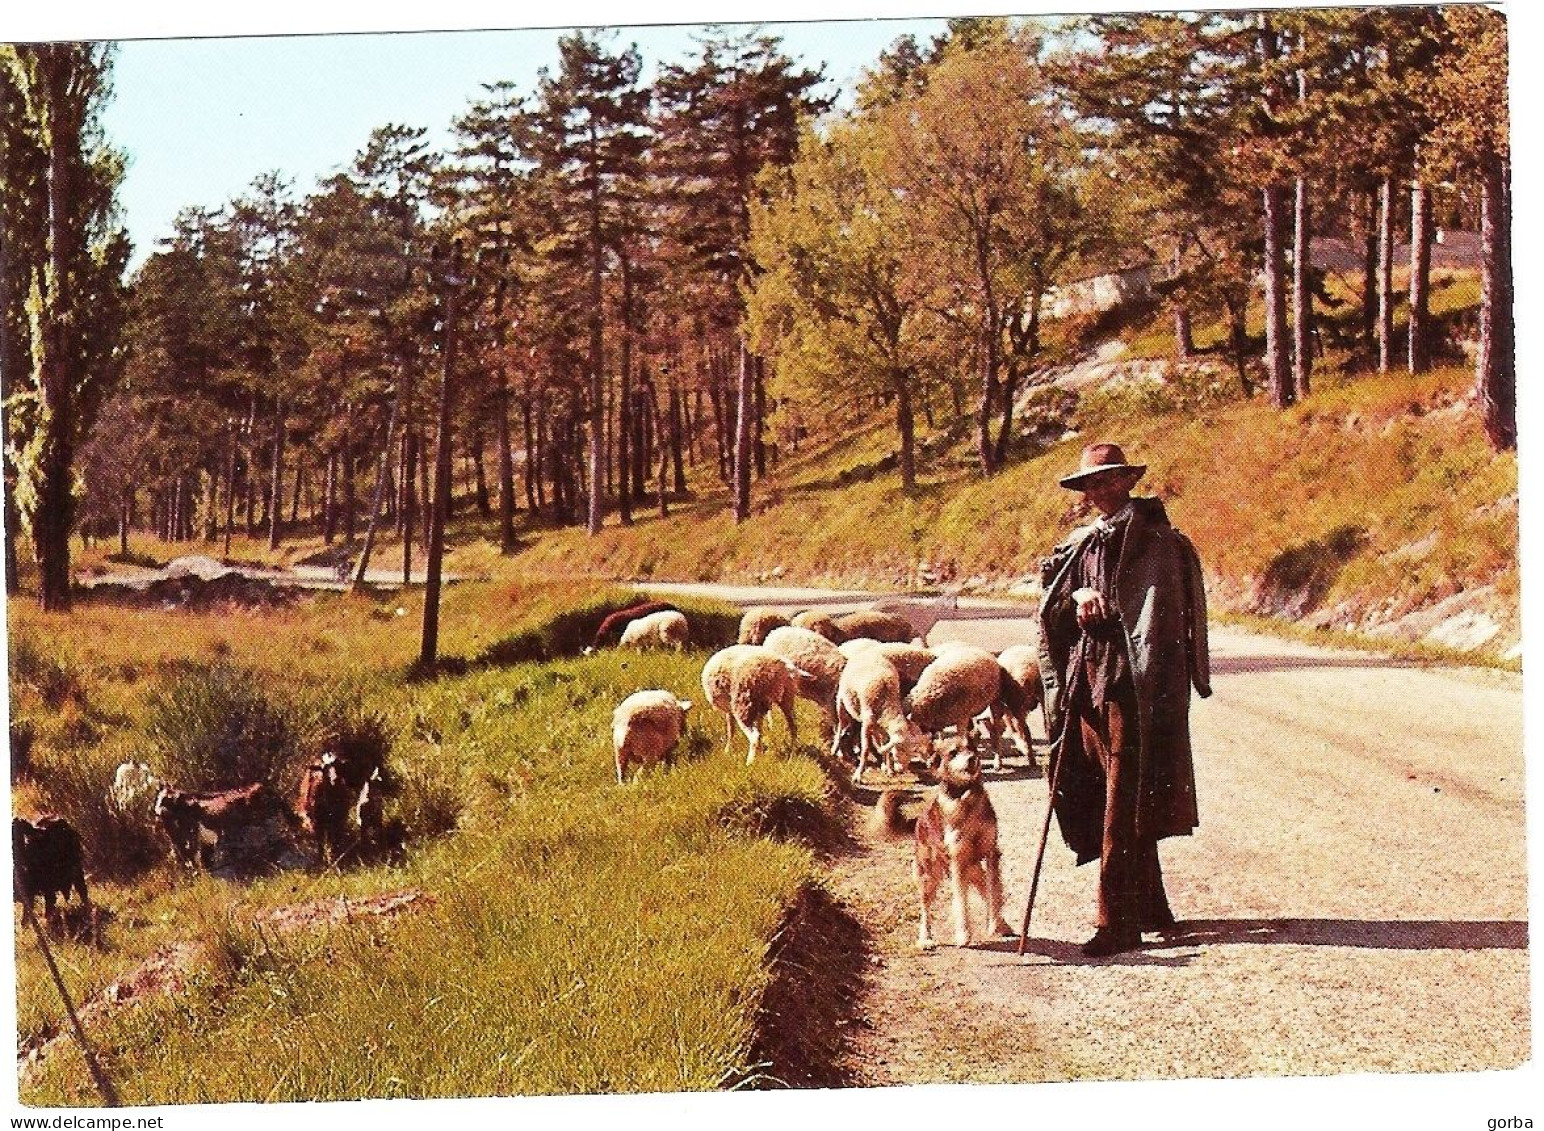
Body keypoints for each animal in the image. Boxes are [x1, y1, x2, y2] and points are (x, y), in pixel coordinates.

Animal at [833, 648, 926, 780]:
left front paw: (888, 768)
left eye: (913, 750)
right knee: (841, 725)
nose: (902, 770)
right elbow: (865, 748)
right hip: (841, 700)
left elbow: (885, 745)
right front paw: (858, 774)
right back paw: (835, 749)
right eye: (901, 748)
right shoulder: (867, 723)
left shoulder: (882, 727)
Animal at [883, 752, 1012, 950]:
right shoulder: (958, 861)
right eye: (953, 752)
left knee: (984, 890)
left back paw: (1003, 924)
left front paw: (994, 924)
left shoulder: (992, 853)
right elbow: (961, 903)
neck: (967, 799)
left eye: (971, 747)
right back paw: (926, 939)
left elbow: (994, 892)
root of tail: (918, 820)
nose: (972, 758)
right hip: (929, 875)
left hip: (974, 869)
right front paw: (963, 935)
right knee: (925, 909)